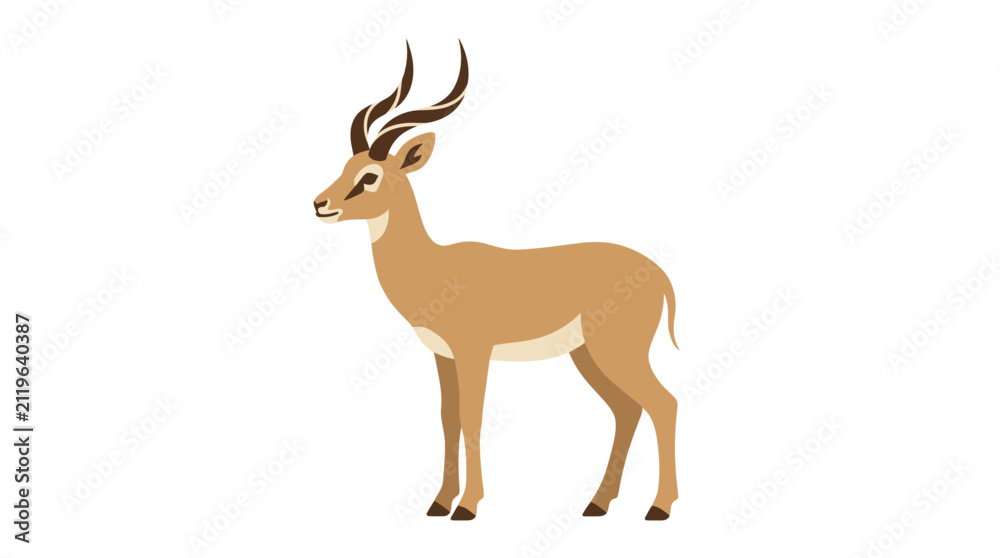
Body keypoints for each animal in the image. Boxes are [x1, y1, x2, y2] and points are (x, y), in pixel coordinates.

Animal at [314, 42, 680, 521]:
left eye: (369, 176)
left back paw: (659, 508)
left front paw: (467, 507)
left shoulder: (474, 353)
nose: (320, 204)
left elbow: (473, 417)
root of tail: (658, 273)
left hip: (617, 352)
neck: (434, 267)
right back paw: (597, 504)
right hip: (588, 355)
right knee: (627, 410)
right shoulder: (443, 355)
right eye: (345, 166)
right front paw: (439, 502)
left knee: (663, 404)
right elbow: (448, 418)